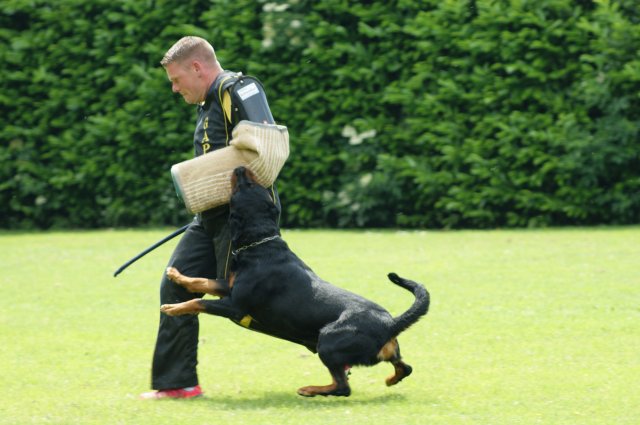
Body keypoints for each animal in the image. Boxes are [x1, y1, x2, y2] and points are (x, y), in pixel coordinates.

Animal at [160, 166, 430, 398]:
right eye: (251, 183)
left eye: (243, 188)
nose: (240, 168)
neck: (261, 243)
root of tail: (390, 323)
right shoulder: (229, 287)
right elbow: (203, 281)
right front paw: (177, 275)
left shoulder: (235, 306)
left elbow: (198, 302)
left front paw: (173, 308)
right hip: (381, 350)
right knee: (404, 367)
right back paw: (390, 380)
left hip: (328, 342)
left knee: (343, 387)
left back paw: (309, 389)